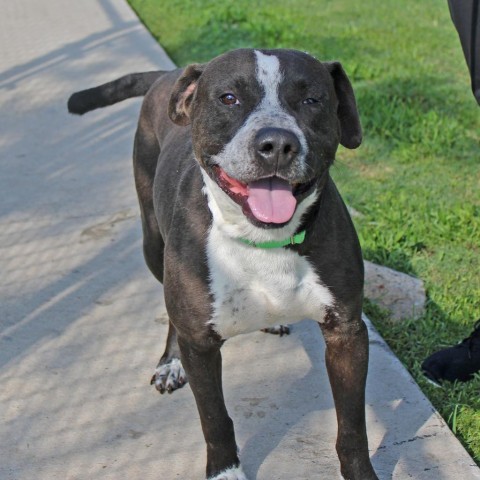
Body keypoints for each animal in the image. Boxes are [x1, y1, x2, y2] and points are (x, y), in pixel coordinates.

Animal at [69, 46, 378, 480]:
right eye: (228, 98)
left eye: (312, 100)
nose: (277, 143)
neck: (263, 241)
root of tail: (168, 74)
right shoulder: (200, 345)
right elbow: (214, 418)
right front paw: (226, 471)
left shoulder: (347, 334)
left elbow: (352, 427)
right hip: (154, 246)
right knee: (170, 313)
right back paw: (170, 362)